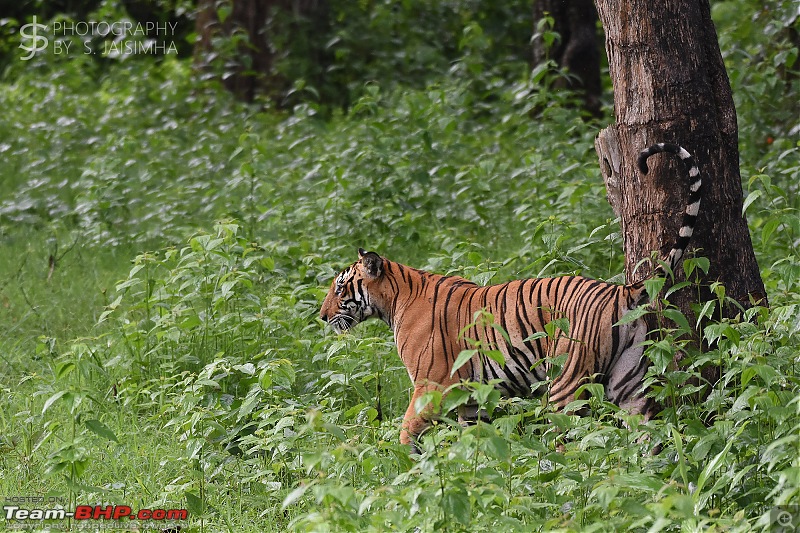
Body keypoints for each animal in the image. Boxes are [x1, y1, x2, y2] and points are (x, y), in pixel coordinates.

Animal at [318, 141, 700, 448]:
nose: (321, 316)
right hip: (631, 385)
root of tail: (623, 290)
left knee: (571, 442)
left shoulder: (432, 386)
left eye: (339, 287)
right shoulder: (471, 399)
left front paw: (401, 469)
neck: (396, 297)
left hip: (566, 382)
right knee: (648, 438)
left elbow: (406, 434)